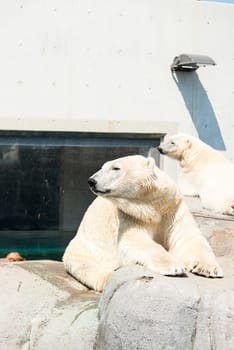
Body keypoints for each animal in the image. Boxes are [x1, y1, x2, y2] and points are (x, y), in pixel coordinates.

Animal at [62, 154, 223, 292]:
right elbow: (135, 241)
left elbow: (188, 238)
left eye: (115, 168)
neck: (153, 206)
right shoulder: (130, 215)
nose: (91, 181)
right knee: (87, 267)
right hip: (84, 249)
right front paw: (175, 267)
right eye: (103, 167)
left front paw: (208, 269)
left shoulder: (173, 208)